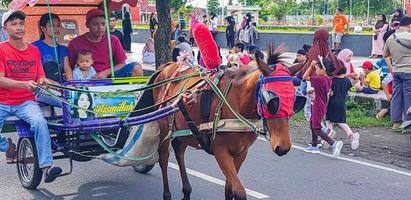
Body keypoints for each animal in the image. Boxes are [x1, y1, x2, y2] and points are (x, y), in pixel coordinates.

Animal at [153, 45, 304, 200]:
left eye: (296, 101)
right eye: (271, 101)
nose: (283, 147)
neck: (237, 102)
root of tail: (167, 66)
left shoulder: (241, 152)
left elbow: (229, 188)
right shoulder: (220, 151)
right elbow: (238, 191)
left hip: (184, 129)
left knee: (179, 150)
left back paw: (187, 191)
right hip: (164, 125)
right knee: (163, 157)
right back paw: (167, 194)